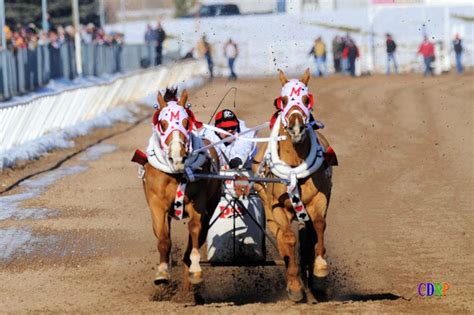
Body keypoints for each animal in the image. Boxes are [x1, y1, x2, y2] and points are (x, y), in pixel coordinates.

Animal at [135, 88, 220, 288]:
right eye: (163, 124)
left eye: (186, 122)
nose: (178, 157)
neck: (175, 173)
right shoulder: (157, 205)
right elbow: (163, 238)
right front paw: (162, 272)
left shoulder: (198, 201)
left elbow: (195, 229)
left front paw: (195, 269)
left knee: (202, 231)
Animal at [254, 69, 336, 304]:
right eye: (283, 100)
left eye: (307, 99)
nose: (297, 127)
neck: (293, 168)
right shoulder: (276, 207)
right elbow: (288, 239)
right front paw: (295, 287)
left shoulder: (319, 198)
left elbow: (318, 225)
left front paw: (320, 268)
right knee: (282, 238)